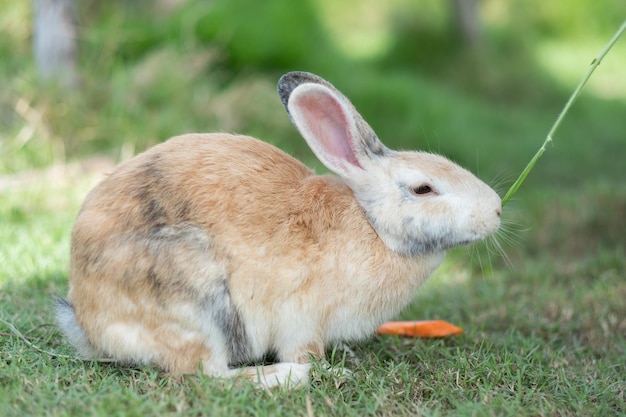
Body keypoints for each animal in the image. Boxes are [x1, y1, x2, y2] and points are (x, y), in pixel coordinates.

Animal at [56, 71, 500, 386]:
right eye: (424, 188)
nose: (496, 210)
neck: (373, 226)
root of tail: (88, 319)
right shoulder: (303, 320)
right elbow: (305, 351)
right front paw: (329, 371)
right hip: (196, 301)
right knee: (206, 376)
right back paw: (286, 378)